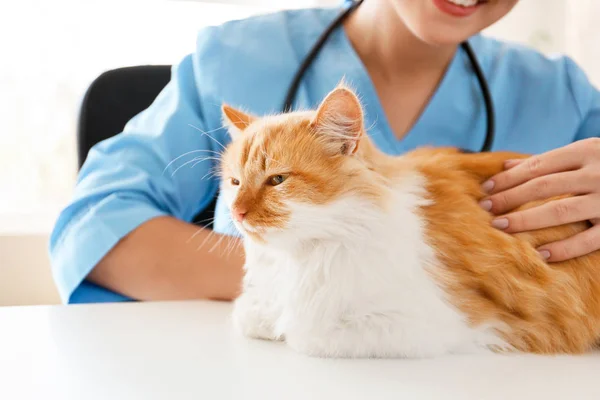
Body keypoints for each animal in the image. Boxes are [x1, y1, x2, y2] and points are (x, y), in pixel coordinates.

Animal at [219, 83, 600, 358]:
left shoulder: (443, 322)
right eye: (235, 183)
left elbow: (303, 332)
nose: (237, 211)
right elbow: (249, 313)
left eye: (277, 180)